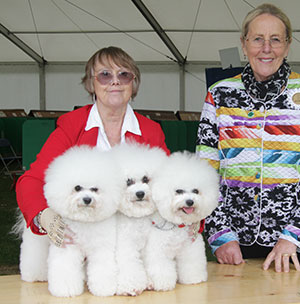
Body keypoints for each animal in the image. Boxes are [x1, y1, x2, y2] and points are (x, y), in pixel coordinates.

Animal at [16, 145, 122, 296]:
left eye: (95, 189)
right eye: (77, 187)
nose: (87, 199)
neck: (84, 221)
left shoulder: (101, 247)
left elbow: (102, 267)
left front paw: (103, 288)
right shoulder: (67, 247)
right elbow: (65, 268)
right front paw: (66, 289)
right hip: (37, 240)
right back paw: (33, 275)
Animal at [112, 143, 169, 296]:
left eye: (145, 179)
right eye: (128, 181)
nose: (140, 193)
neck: (137, 218)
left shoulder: (150, 242)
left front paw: (153, 281)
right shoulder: (125, 244)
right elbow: (129, 264)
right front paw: (130, 286)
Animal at [144, 153, 219, 290]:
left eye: (196, 191)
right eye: (178, 191)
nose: (190, 201)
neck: (177, 225)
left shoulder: (190, 247)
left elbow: (190, 263)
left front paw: (194, 278)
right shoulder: (159, 250)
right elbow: (160, 267)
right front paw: (163, 284)